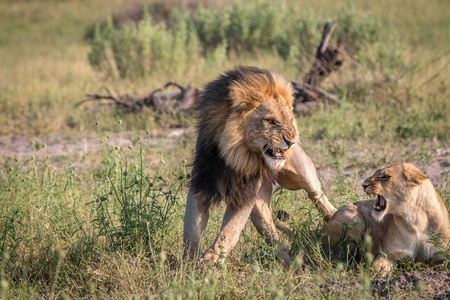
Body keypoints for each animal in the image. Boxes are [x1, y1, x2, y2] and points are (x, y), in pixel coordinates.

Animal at [184, 66, 338, 264]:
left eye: (289, 120)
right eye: (270, 121)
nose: (292, 141)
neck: (234, 156)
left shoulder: (244, 196)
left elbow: (229, 233)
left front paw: (210, 261)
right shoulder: (201, 186)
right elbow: (191, 230)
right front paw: (188, 263)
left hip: (303, 173)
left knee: (317, 195)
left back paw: (334, 219)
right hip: (259, 204)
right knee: (273, 235)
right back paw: (289, 261)